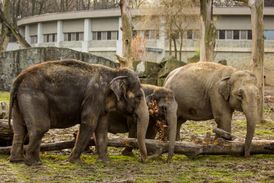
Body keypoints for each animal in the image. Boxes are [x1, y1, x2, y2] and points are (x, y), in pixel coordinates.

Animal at [8, 59, 149, 165]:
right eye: (138, 97)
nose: (142, 160)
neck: (114, 71)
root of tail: (19, 78)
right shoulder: (94, 96)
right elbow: (89, 124)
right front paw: (72, 161)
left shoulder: (101, 103)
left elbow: (102, 127)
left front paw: (105, 162)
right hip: (33, 97)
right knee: (40, 127)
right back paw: (33, 163)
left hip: (21, 100)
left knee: (19, 129)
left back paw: (17, 160)